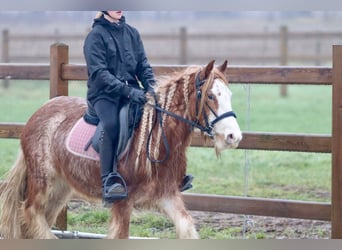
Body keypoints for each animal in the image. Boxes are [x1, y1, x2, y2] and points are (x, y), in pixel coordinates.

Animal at [0, 59, 242, 239]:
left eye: (230, 95)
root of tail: (38, 113)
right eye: (210, 96)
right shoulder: (123, 203)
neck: (155, 138)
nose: (234, 137)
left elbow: (187, 229)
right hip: (43, 181)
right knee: (31, 212)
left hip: (60, 189)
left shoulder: (168, 195)